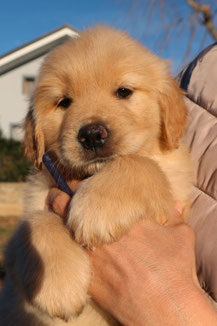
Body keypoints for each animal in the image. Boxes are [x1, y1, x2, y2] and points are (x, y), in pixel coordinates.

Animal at [0, 26, 193, 324]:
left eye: (123, 92)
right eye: (64, 102)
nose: (91, 135)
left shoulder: (175, 194)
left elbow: (139, 163)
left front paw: (97, 208)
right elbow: (35, 221)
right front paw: (59, 285)